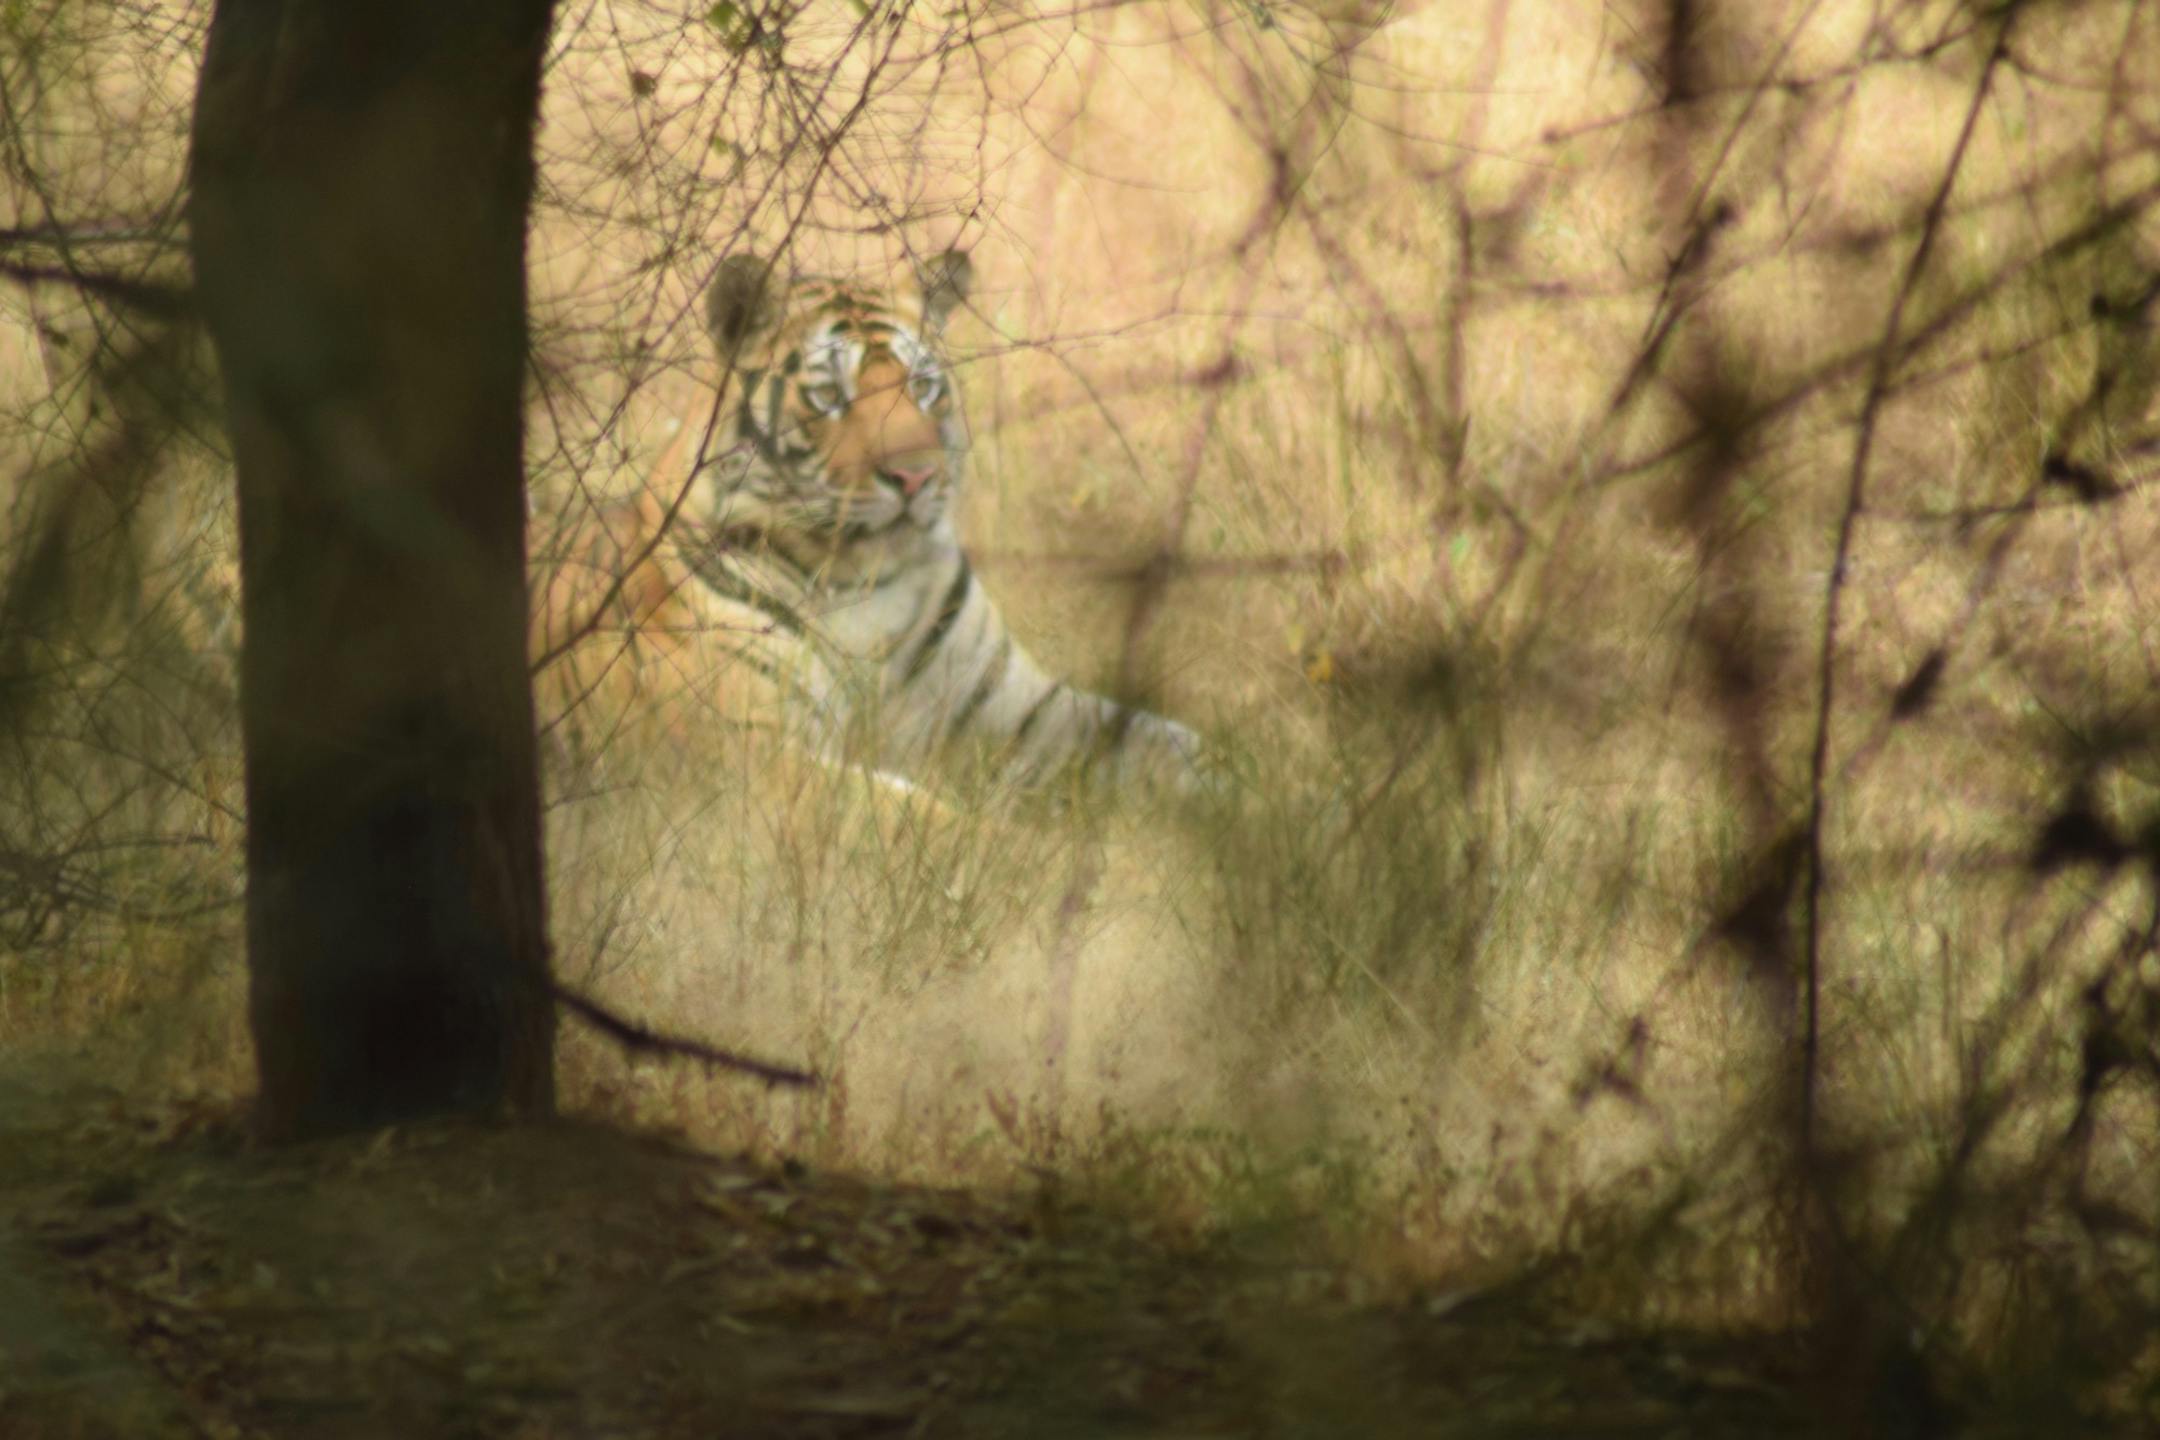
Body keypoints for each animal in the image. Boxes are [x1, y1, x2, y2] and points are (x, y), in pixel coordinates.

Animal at [530, 247, 1209, 800]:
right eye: (831, 396)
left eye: (924, 387)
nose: (915, 477)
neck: (864, 583)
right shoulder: (756, 758)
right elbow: (914, 816)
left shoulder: (1020, 706)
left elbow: (1163, 740)